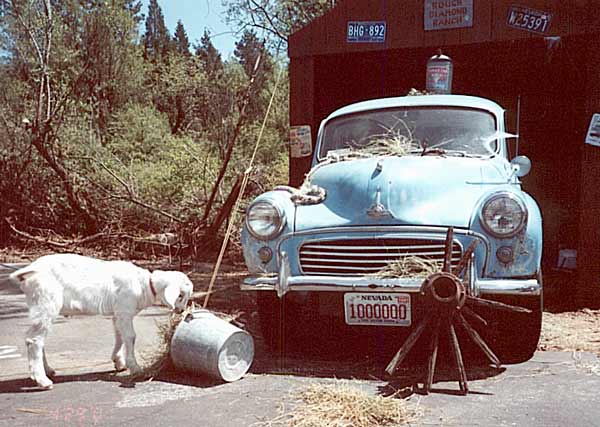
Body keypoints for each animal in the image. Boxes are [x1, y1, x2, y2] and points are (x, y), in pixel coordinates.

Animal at [8, 254, 192, 392]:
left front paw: (119, 362)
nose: (181, 311)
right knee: (34, 340)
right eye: (180, 295)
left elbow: (119, 335)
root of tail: (30, 271)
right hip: (46, 301)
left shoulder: (118, 313)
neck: (145, 286)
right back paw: (42, 381)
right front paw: (135, 368)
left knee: (39, 339)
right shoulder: (125, 311)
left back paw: (48, 371)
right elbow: (130, 337)